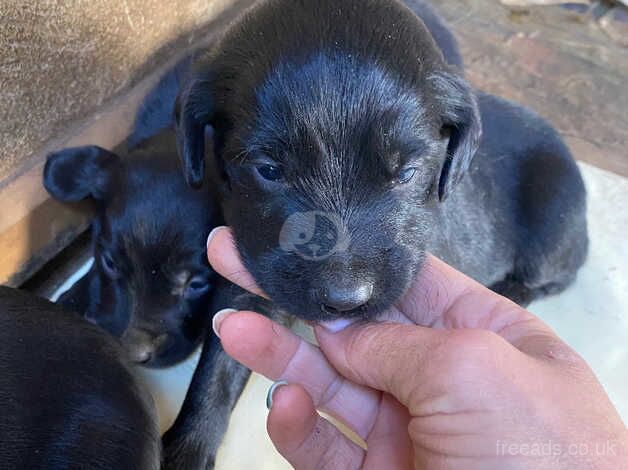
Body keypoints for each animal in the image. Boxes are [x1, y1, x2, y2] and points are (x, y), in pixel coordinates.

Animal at [42, 127, 253, 466]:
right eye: (110, 262)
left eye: (196, 283)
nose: (133, 353)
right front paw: (76, 298)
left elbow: (219, 369)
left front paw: (187, 449)